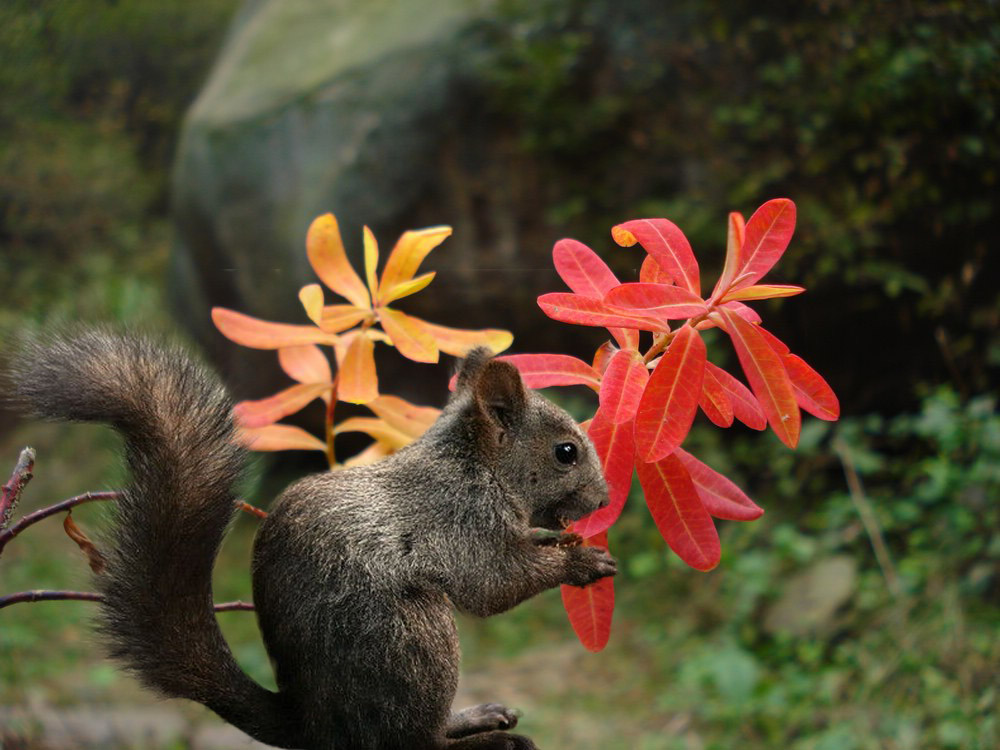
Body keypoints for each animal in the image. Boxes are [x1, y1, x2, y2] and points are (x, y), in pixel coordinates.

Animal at [11, 332, 612, 750]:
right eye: (565, 452)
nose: (604, 500)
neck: (473, 465)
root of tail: (312, 728)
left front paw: (553, 539)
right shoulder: (459, 520)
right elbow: (493, 585)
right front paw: (582, 563)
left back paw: (475, 718)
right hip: (412, 642)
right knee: (410, 742)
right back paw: (486, 739)